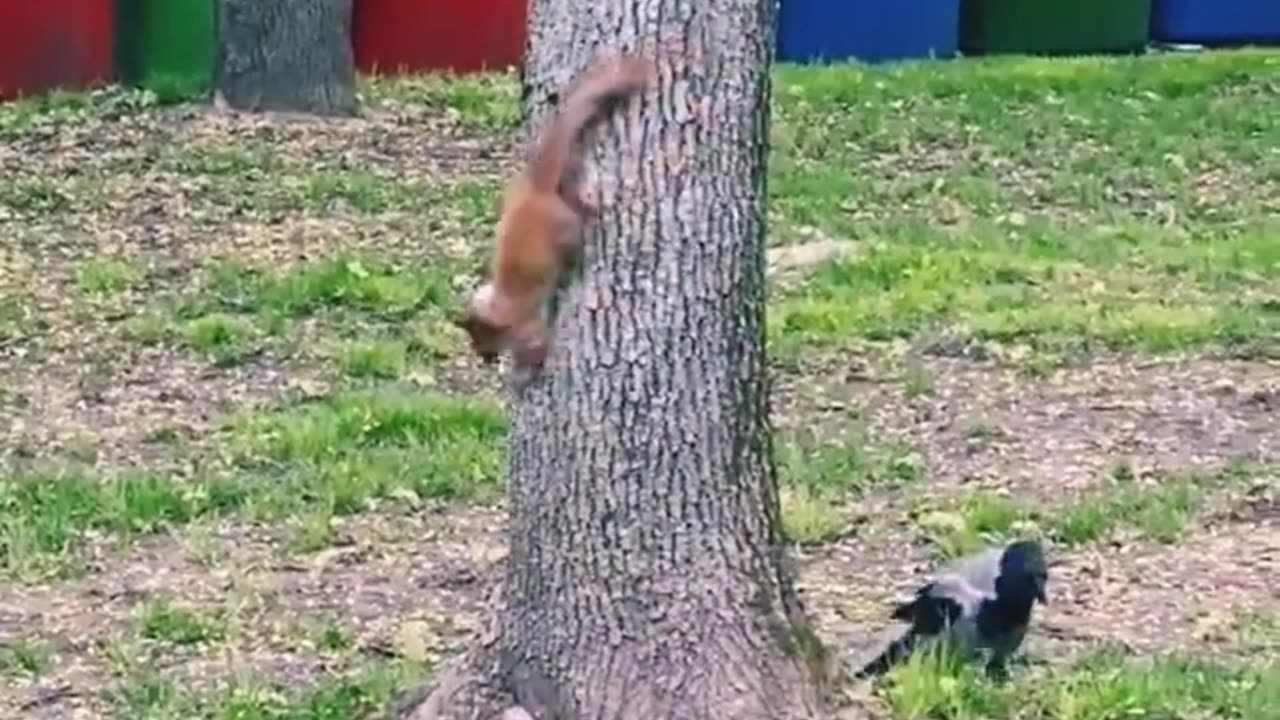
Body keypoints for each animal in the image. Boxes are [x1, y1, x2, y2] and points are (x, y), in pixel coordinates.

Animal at [455, 51, 655, 368]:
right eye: (473, 340)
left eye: (485, 340)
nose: (484, 358)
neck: (502, 303)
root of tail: (538, 188)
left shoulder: (529, 328)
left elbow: (537, 346)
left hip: (566, 229)